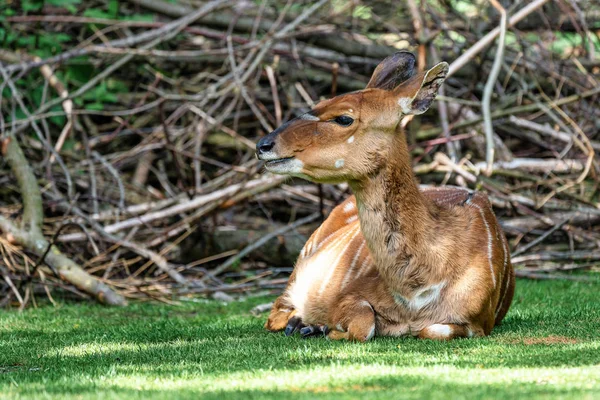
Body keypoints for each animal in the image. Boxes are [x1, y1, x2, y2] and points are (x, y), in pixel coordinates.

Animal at [255, 51, 512, 340]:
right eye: (321, 102)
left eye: (343, 118)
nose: (263, 145)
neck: (415, 294)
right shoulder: (349, 296)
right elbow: (364, 325)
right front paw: (323, 327)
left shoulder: (478, 322)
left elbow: (433, 329)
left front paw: (321, 327)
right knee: (276, 312)